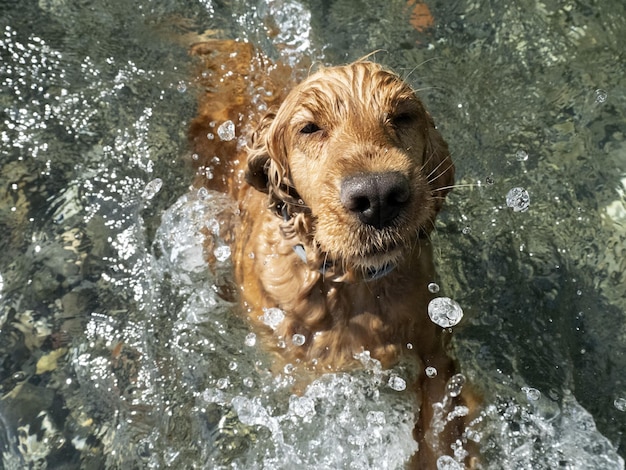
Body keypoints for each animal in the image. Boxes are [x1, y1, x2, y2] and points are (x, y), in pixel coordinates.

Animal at [188, 41, 476, 470]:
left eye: (402, 116)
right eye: (309, 128)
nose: (379, 196)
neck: (351, 286)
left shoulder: (436, 351)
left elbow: (440, 428)